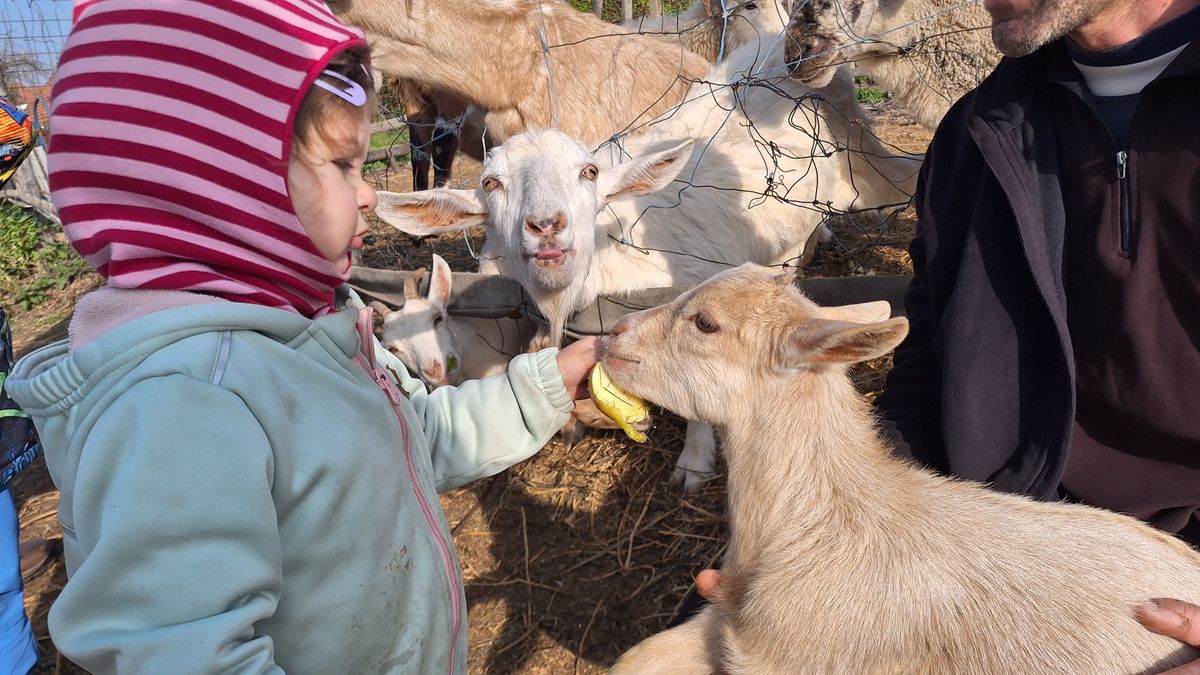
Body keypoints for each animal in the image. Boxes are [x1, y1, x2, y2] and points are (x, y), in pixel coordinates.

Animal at [604, 263, 1200, 672]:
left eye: (706, 323)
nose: (613, 332)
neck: (810, 524)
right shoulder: (725, 621)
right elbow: (640, 657)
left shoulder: (787, 655)